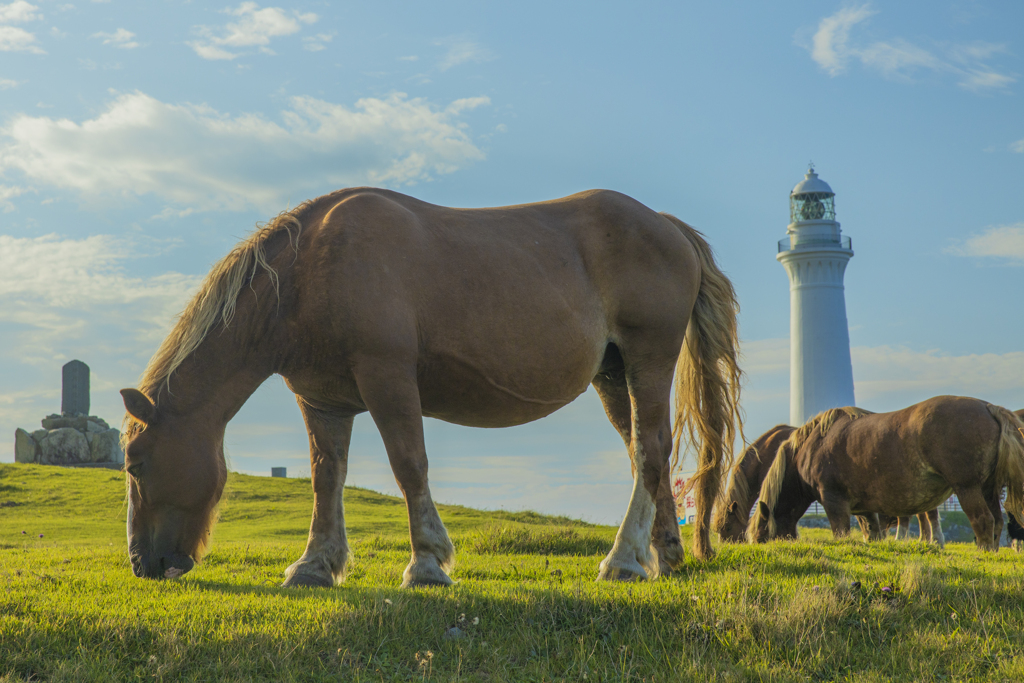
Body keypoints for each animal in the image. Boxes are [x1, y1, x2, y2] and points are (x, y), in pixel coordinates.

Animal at [117, 187, 745, 589]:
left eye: (134, 462)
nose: (141, 563)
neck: (308, 272)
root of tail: (666, 224)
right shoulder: (323, 401)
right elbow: (326, 480)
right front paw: (314, 566)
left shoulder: (387, 379)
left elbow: (408, 465)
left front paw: (426, 564)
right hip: (613, 376)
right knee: (648, 455)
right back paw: (662, 555)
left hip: (647, 359)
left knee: (651, 452)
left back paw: (623, 561)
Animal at [745, 395, 1024, 548]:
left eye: (760, 537)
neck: (812, 445)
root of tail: (988, 407)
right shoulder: (865, 509)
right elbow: (873, 534)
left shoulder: (834, 501)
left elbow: (842, 532)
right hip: (988, 489)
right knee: (997, 522)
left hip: (968, 488)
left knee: (983, 522)